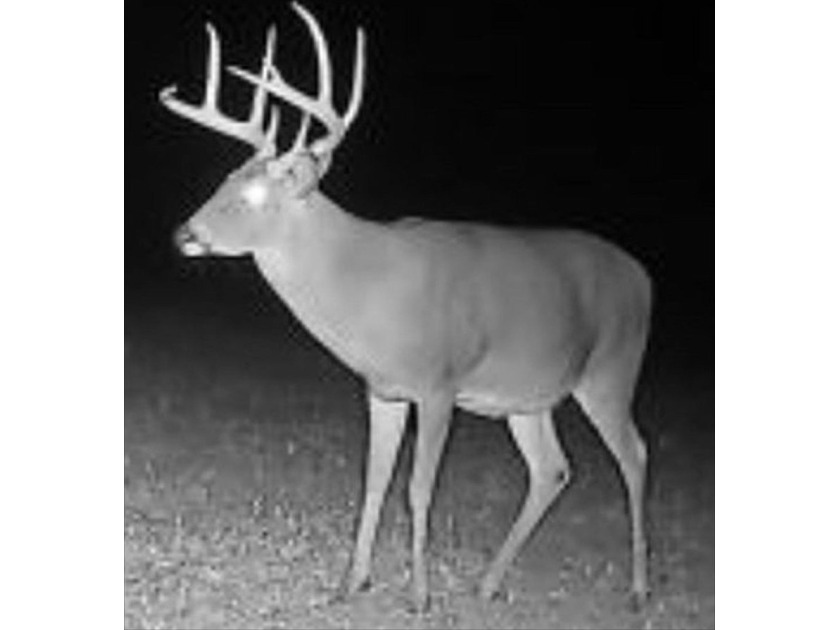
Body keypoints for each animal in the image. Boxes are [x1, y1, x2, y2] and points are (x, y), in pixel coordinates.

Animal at [160, 2, 652, 613]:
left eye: (253, 195)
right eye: (226, 179)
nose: (184, 233)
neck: (368, 288)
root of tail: (643, 276)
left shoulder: (440, 384)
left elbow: (418, 489)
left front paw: (418, 596)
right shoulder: (383, 389)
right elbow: (374, 481)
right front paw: (350, 583)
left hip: (612, 371)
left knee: (634, 455)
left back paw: (638, 591)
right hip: (529, 396)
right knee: (552, 470)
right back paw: (488, 583)